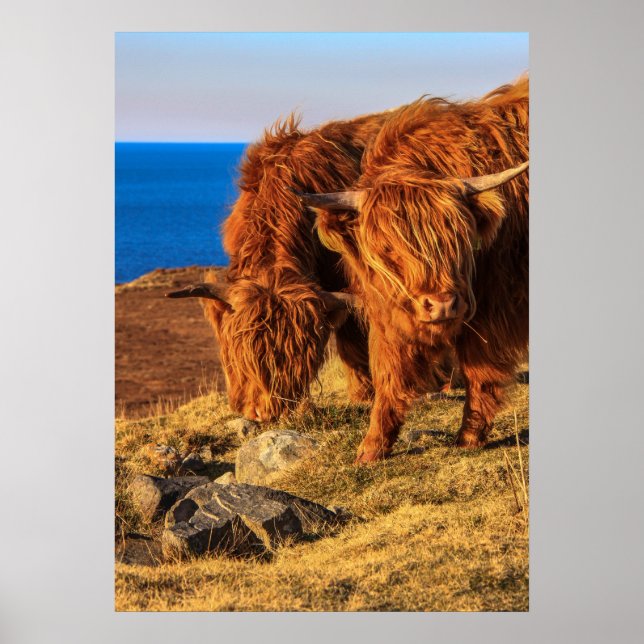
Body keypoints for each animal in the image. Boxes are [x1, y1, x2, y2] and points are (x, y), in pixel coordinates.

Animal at [299, 77, 529, 463]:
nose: (443, 305)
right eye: (388, 249)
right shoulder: (388, 312)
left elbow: (479, 368)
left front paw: (469, 436)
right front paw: (372, 448)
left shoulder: (490, 308)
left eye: (458, 238)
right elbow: (388, 373)